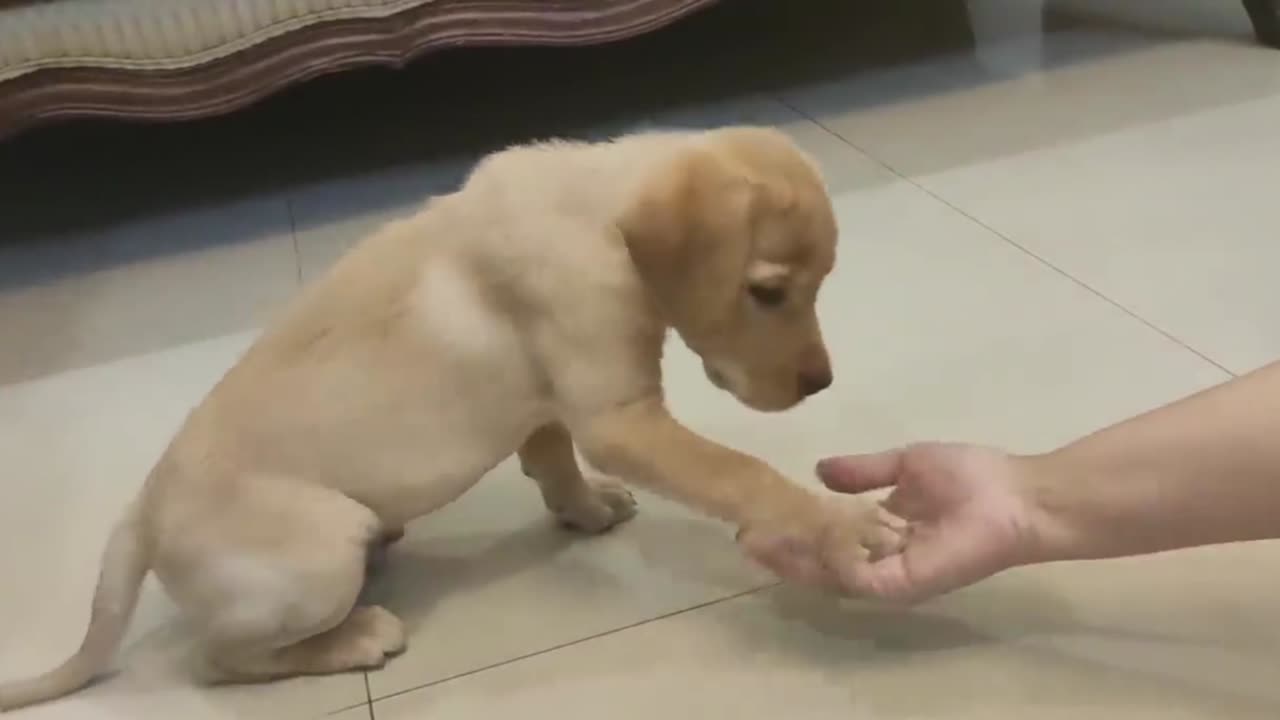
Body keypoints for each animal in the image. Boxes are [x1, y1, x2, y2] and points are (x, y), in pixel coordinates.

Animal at [0, 126, 901, 707]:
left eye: (819, 282)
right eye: (767, 291)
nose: (820, 382)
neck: (600, 218)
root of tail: (142, 515)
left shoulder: (546, 402)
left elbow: (551, 458)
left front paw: (585, 509)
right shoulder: (618, 416)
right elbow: (743, 473)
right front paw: (842, 525)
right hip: (320, 551)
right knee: (221, 660)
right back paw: (354, 638)